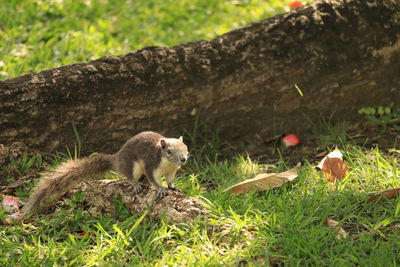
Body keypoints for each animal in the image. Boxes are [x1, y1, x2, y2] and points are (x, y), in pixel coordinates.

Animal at [21, 131, 189, 216]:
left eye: (186, 147)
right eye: (169, 151)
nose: (183, 159)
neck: (168, 164)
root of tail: (117, 159)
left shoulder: (171, 171)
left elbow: (170, 180)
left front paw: (173, 186)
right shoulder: (151, 165)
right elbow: (154, 179)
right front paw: (160, 189)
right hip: (132, 166)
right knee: (129, 177)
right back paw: (136, 184)